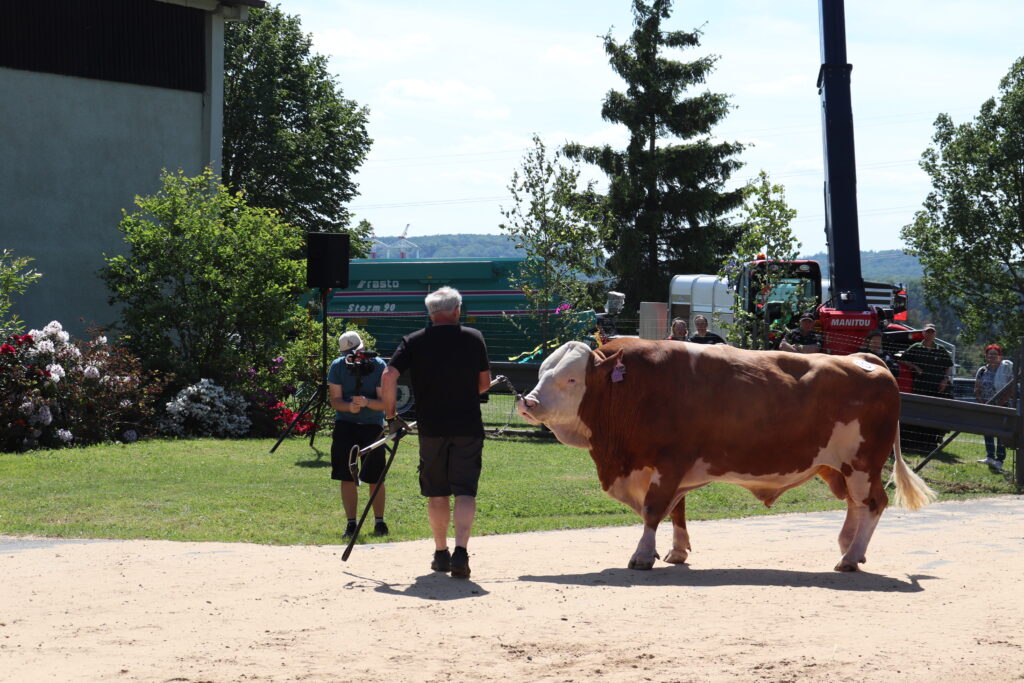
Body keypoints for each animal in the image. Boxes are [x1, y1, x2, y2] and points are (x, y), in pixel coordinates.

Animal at [520, 337, 937, 573]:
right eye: (541, 371)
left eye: (571, 379)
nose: (527, 401)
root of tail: (863, 359)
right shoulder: (669, 467)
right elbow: (676, 509)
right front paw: (676, 551)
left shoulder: (670, 461)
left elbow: (655, 510)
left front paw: (642, 554)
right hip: (839, 467)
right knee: (856, 504)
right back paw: (850, 548)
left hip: (863, 463)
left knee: (872, 503)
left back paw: (850, 557)